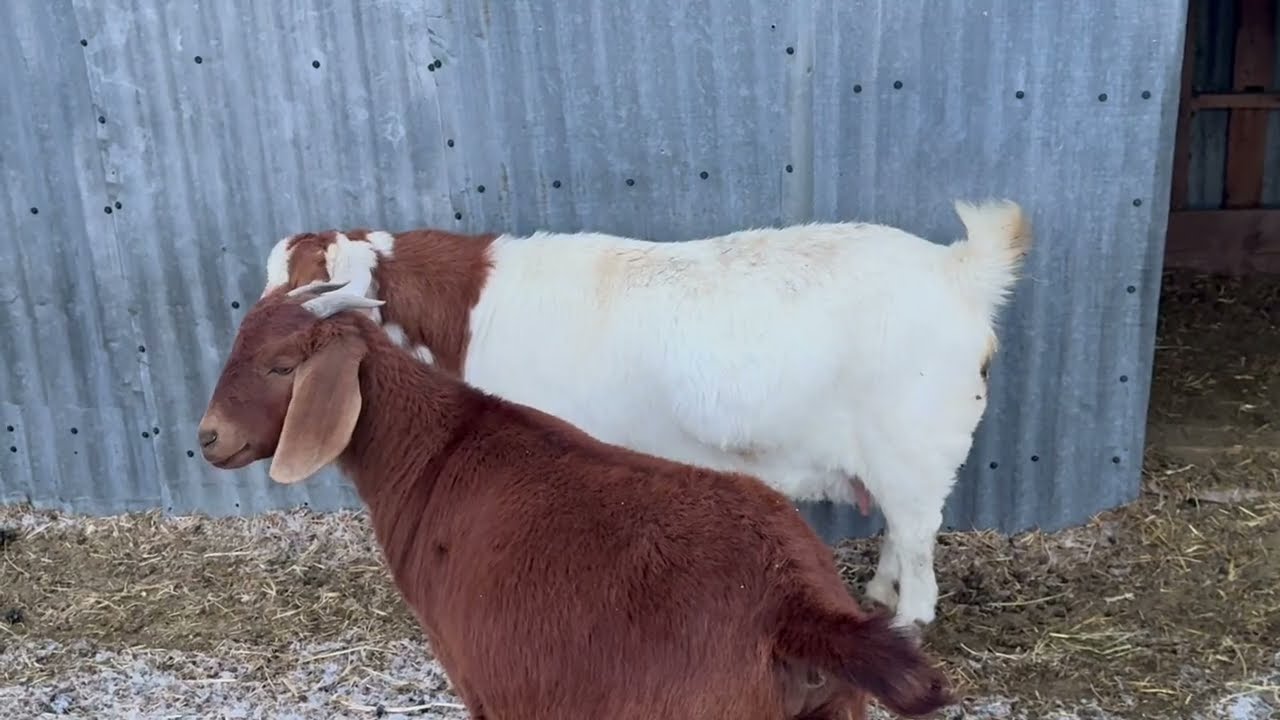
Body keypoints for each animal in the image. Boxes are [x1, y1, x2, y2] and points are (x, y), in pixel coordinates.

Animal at [257, 199, 1033, 629]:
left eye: (302, 290)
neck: (470, 314)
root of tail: (961, 271)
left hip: (915, 447)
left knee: (919, 537)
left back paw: (907, 619)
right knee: (903, 532)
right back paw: (875, 591)